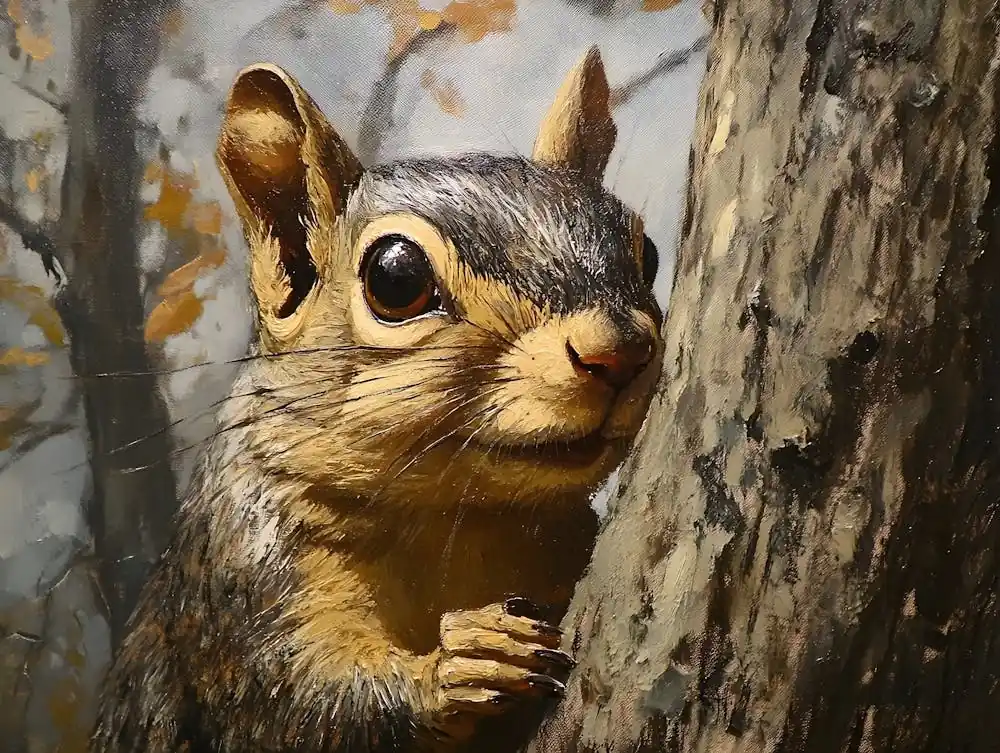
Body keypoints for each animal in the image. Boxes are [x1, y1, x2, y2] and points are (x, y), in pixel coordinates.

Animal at [89, 45, 663, 753]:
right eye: (395, 278)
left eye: (649, 254)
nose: (619, 352)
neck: (460, 518)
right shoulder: (246, 580)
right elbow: (302, 703)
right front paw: (464, 663)